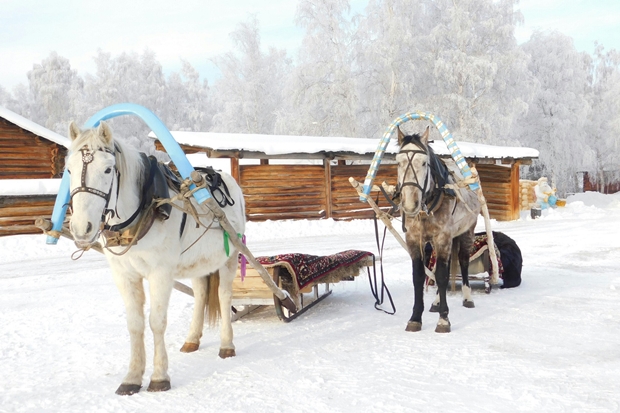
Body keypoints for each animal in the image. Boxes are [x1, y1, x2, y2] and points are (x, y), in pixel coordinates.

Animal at [65, 120, 245, 394]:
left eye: (108, 169)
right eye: (68, 169)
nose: (81, 227)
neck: (144, 208)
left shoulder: (160, 273)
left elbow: (157, 321)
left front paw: (159, 376)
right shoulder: (124, 275)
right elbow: (135, 324)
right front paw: (132, 377)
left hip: (230, 254)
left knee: (224, 296)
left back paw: (227, 344)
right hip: (198, 262)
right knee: (201, 293)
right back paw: (192, 339)